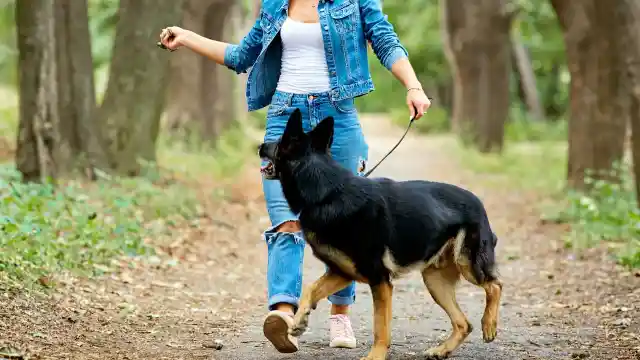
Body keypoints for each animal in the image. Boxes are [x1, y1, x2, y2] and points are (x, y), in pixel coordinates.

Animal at [258, 109, 502, 360]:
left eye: (279, 141)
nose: (259, 145)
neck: (327, 192)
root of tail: (477, 202)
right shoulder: (343, 272)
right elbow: (310, 289)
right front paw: (298, 321)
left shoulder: (379, 279)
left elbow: (380, 325)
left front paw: (376, 355)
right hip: (435, 281)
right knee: (464, 323)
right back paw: (442, 349)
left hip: (468, 264)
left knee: (495, 286)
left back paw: (489, 325)